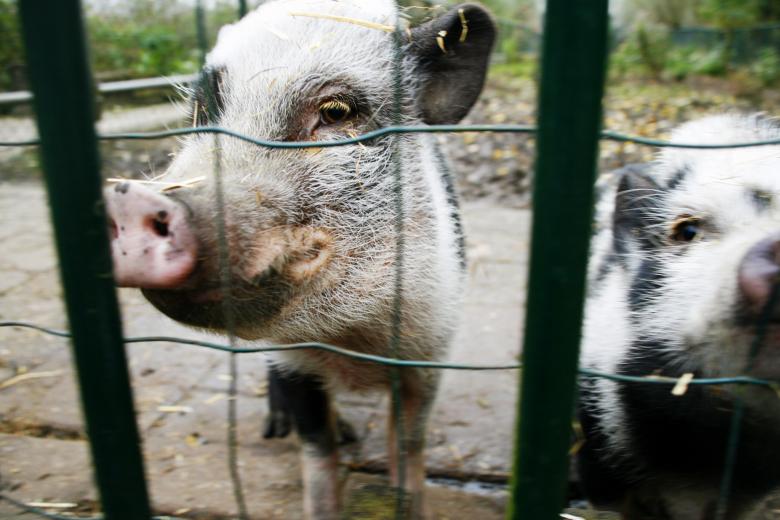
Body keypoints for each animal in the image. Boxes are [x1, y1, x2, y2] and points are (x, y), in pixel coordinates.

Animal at [103, 1, 495, 518]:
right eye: (202, 111)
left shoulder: (430, 349)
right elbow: (317, 448)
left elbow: (409, 445)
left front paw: (407, 500)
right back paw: (279, 430)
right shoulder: (293, 360)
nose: (130, 200)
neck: (354, 341)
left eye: (336, 112)